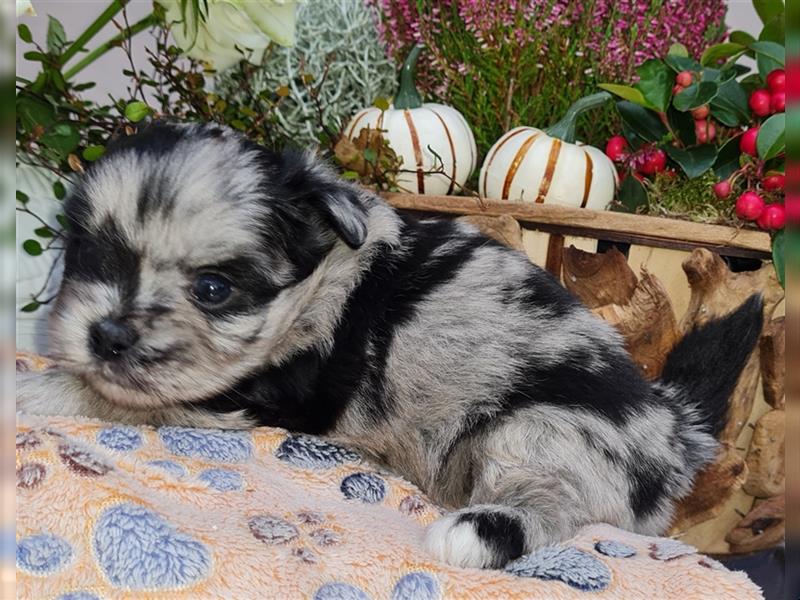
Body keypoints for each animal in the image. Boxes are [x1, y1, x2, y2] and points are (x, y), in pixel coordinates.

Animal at [15, 120, 760, 568]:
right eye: (91, 256)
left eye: (214, 289)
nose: (107, 336)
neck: (315, 279)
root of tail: (671, 428)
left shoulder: (241, 390)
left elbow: (109, 396)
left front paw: (28, 387)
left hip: (544, 429)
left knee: (558, 506)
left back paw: (480, 531)